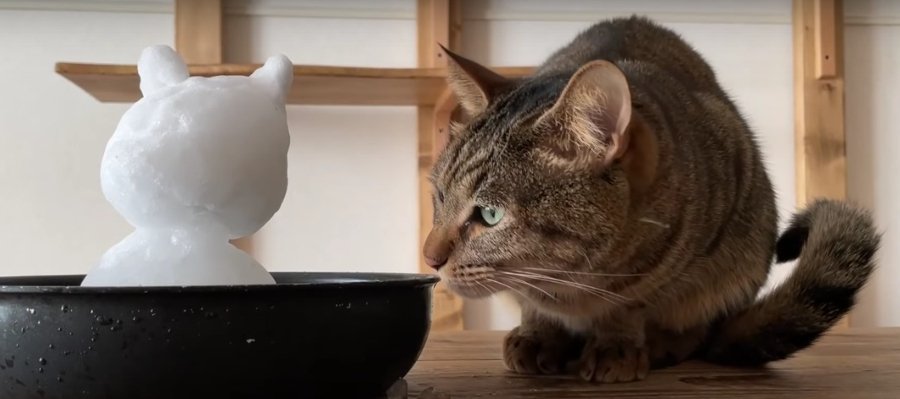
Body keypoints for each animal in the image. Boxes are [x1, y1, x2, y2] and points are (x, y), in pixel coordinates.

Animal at [422, 16, 880, 384]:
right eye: (440, 196)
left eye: (490, 214)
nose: (429, 258)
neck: (568, 286)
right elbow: (533, 307)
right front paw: (538, 334)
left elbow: (629, 304)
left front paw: (617, 344)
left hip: (744, 254)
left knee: (698, 330)